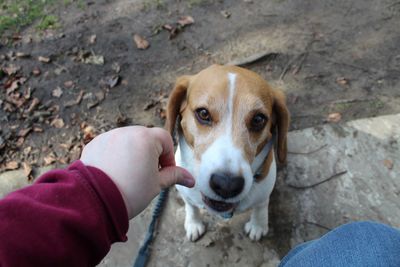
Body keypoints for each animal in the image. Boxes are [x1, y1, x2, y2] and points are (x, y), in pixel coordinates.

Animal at [164, 63, 290, 242]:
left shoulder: (264, 192)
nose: (227, 185)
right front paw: (193, 222)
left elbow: (260, 207)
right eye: (203, 113)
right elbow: (191, 206)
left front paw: (258, 225)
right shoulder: (186, 193)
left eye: (258, 119)